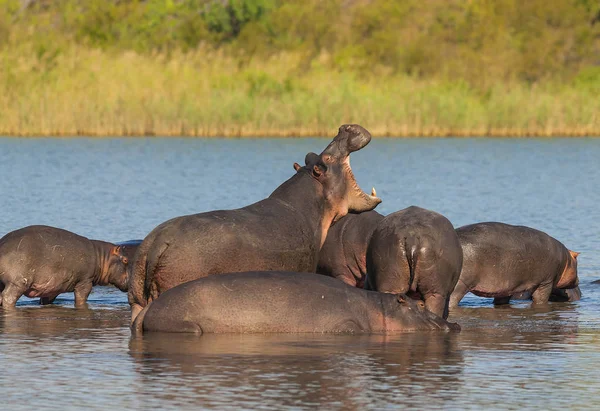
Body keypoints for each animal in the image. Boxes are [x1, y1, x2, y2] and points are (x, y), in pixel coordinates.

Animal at [0, 225, 131, 308]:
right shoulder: (85, 281)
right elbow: (81, 298)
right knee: (7, 297)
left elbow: (46, 300)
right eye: (125, 260)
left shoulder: (51, 288)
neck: (102, 257)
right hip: (18, 283)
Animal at [452, 224, 580, 308]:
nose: (578, 281)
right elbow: (540, 299)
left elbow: (502, 300)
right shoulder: (545, 282)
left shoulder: (506, 288)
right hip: (460, 284)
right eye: (576, 260)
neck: (566, 259)